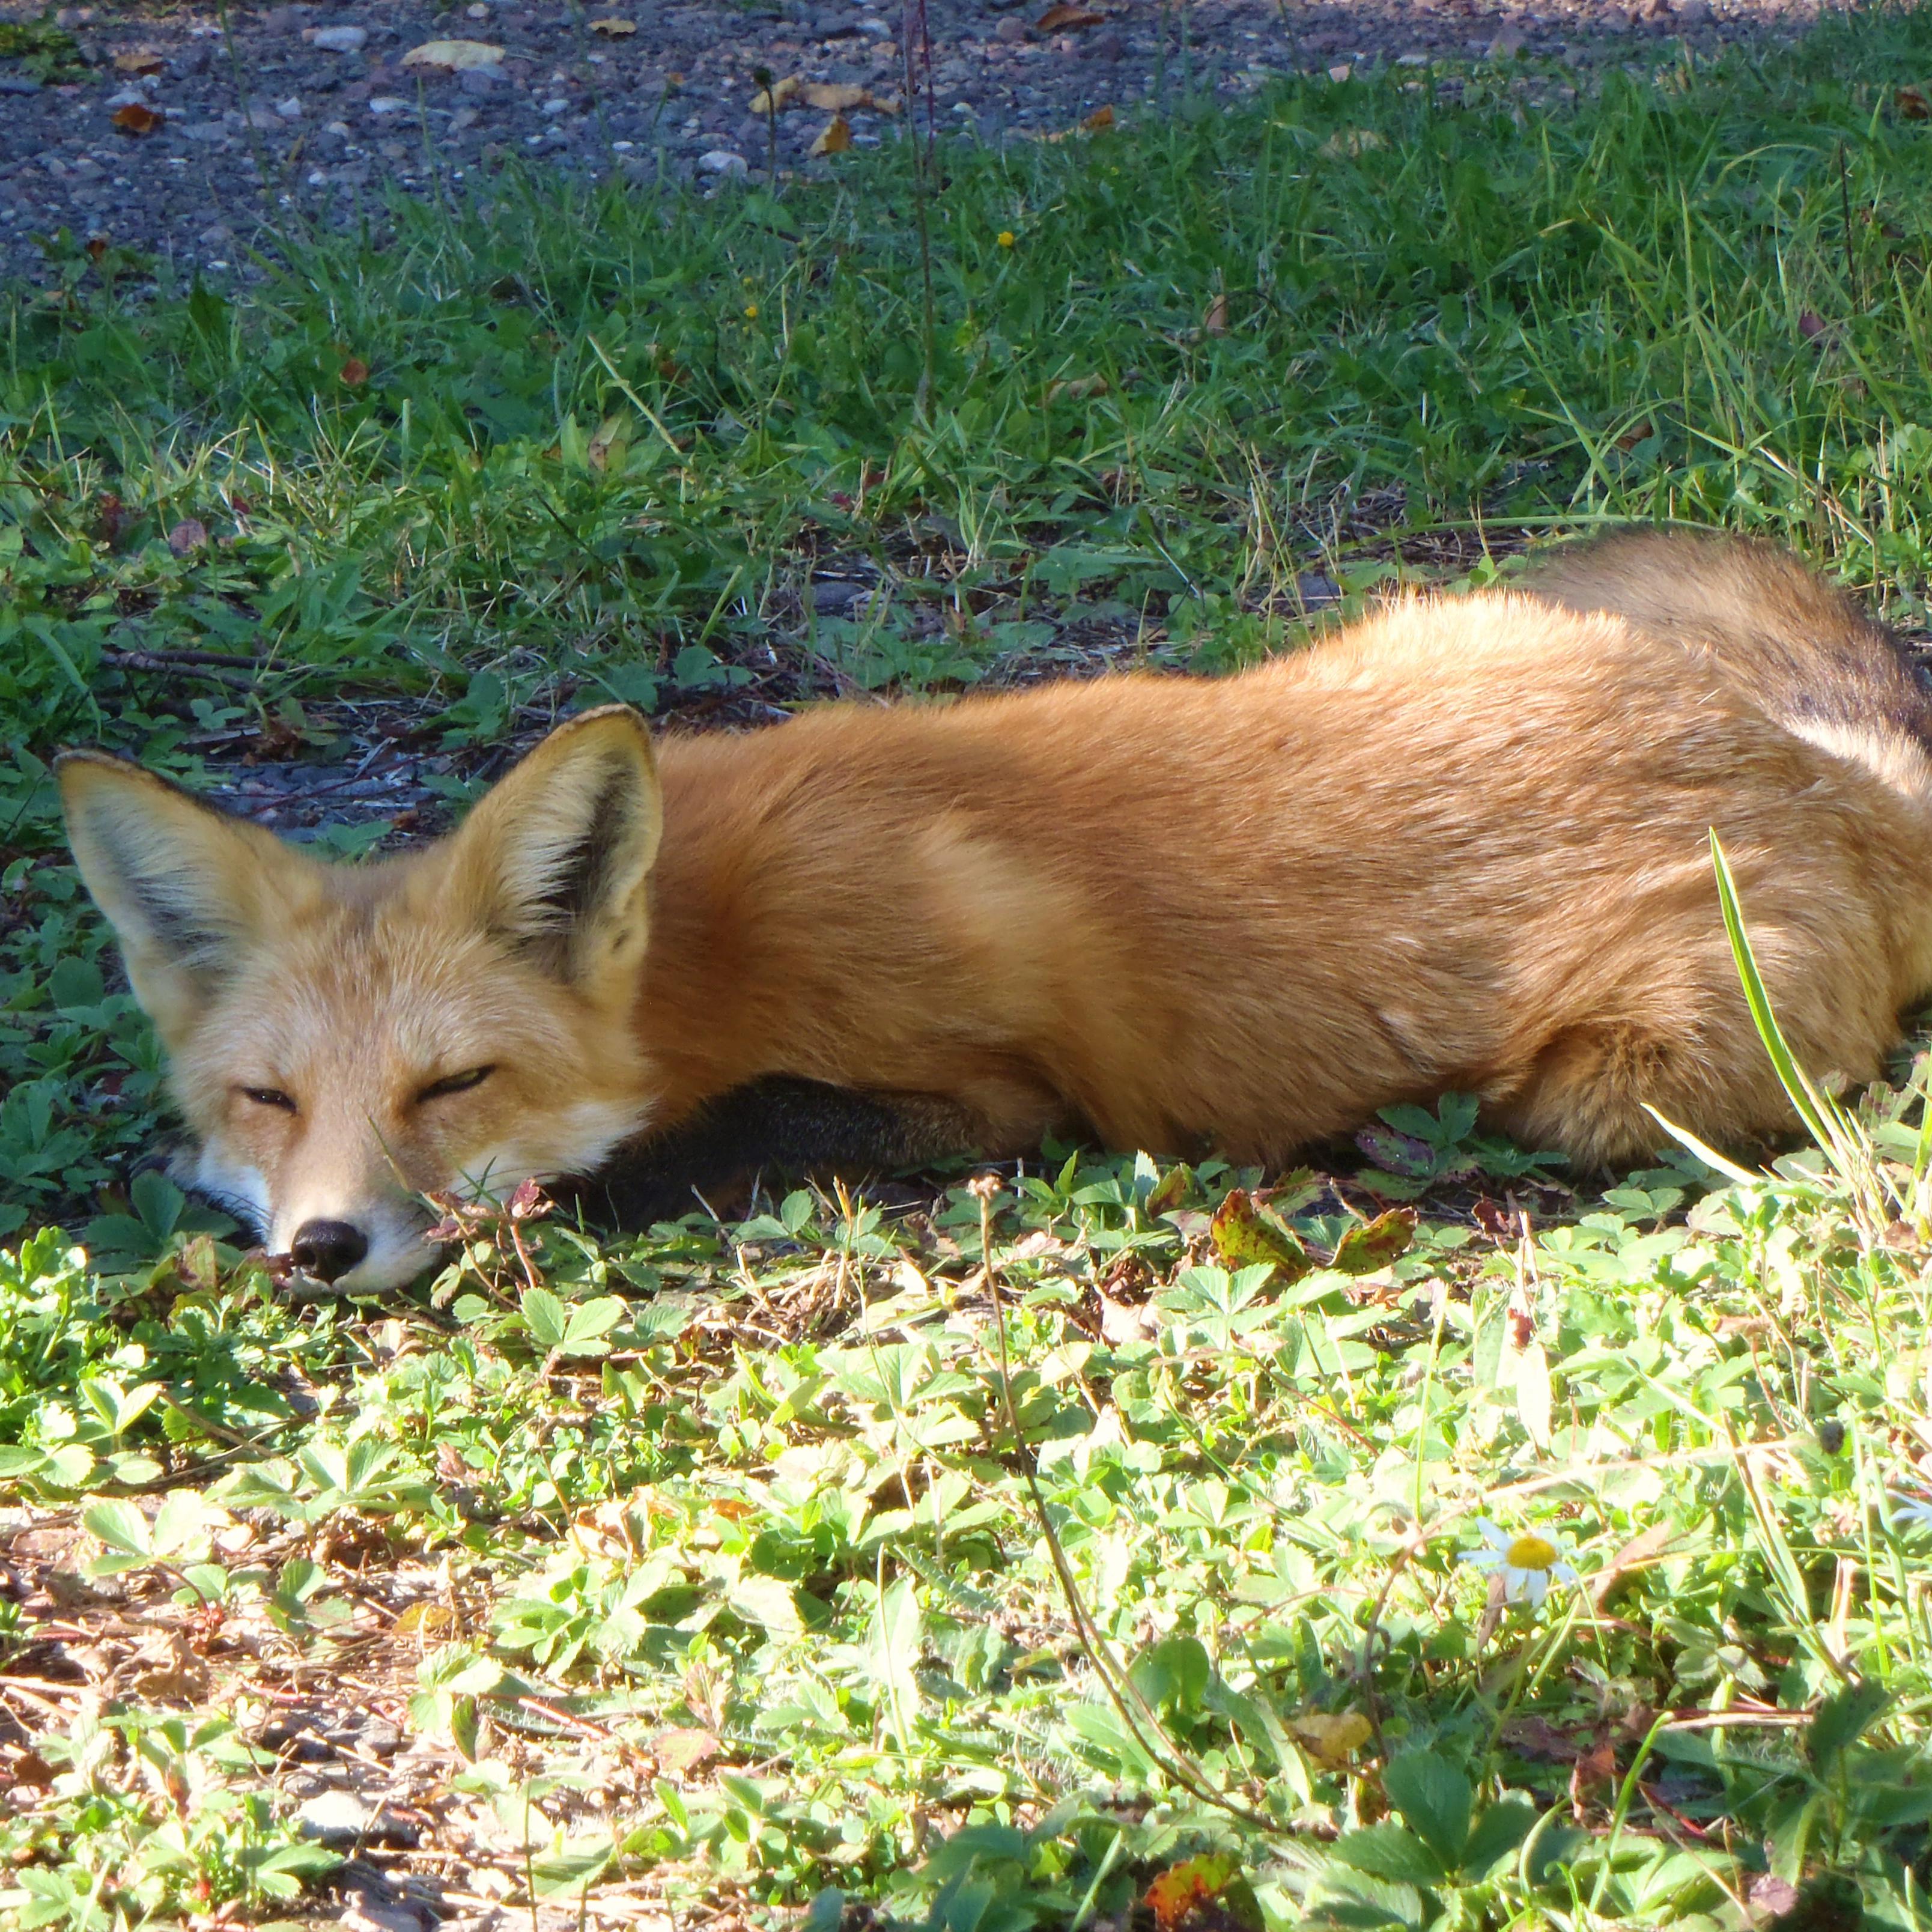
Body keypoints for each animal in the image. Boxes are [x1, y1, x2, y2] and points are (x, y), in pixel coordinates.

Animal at [56, 537, 1932, 1298]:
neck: (711, 943)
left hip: (1624, 1084)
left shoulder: (984, 1097)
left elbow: (703, 1140)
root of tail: (1808, 765)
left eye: (452, 1087)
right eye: (268, 1098)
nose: (319, 1247)